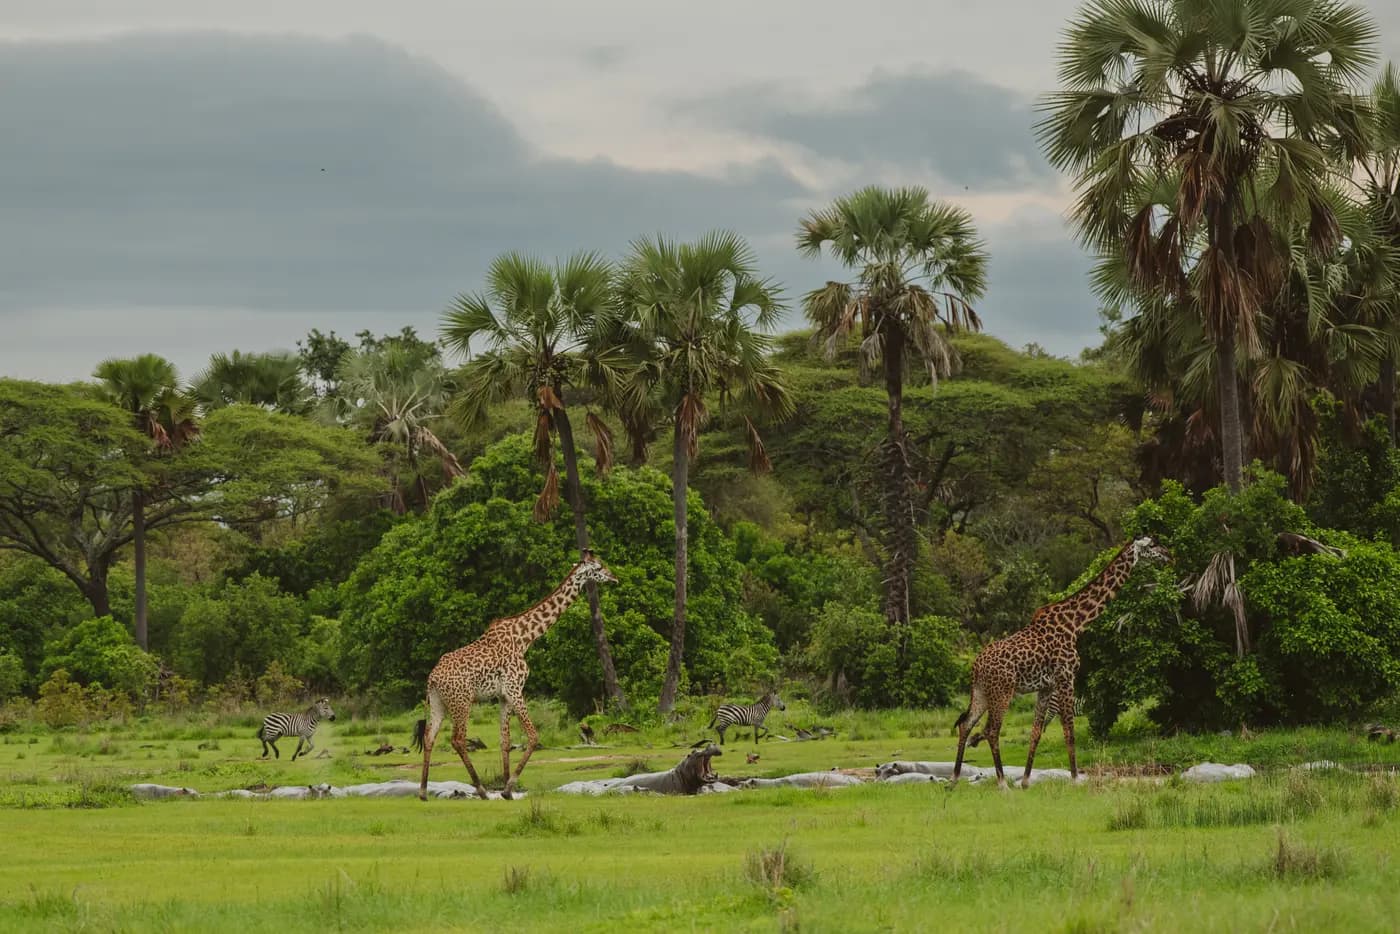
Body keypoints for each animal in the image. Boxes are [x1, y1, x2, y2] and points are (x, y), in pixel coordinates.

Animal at [413, 549, 618, 800]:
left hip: (438, 702)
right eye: (598, 568)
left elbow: (505, 741)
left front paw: (507, 789)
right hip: (462, 701)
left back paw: (423, 792)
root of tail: (432, 678)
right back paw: (481, 790)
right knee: (458, 739)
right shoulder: (515, 688)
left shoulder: (503, 695)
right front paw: (508, 788)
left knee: (429, 737)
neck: (525, 637)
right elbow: (533, 736)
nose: (614, 577)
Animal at [951, 536, 1169, 789]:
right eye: (1152, 545)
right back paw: (1003, 783)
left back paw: (954, 779)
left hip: (981, 692)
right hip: (1002, 691)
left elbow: (1036, 732)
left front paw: (1026, 781)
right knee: (991, 730)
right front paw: (1075, 779)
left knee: (966, 724)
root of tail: (975, 666)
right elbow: (1069, 730)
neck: (1076, 623)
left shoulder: (1046, 686)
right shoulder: (1066, 677)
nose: (1169, 555)